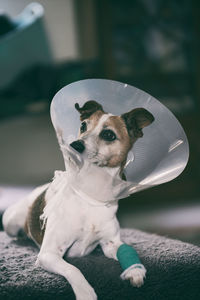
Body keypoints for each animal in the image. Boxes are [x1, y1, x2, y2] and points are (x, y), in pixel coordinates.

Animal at [2, 101, 154, 300]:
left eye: (109, 134)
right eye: (83, 126)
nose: (74, 145)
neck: (90, 195)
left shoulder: (110, 244)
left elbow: (127, 249)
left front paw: (135, 270)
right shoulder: (49, 254)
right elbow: (73, 269)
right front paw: (85, 292)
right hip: (11, 223)